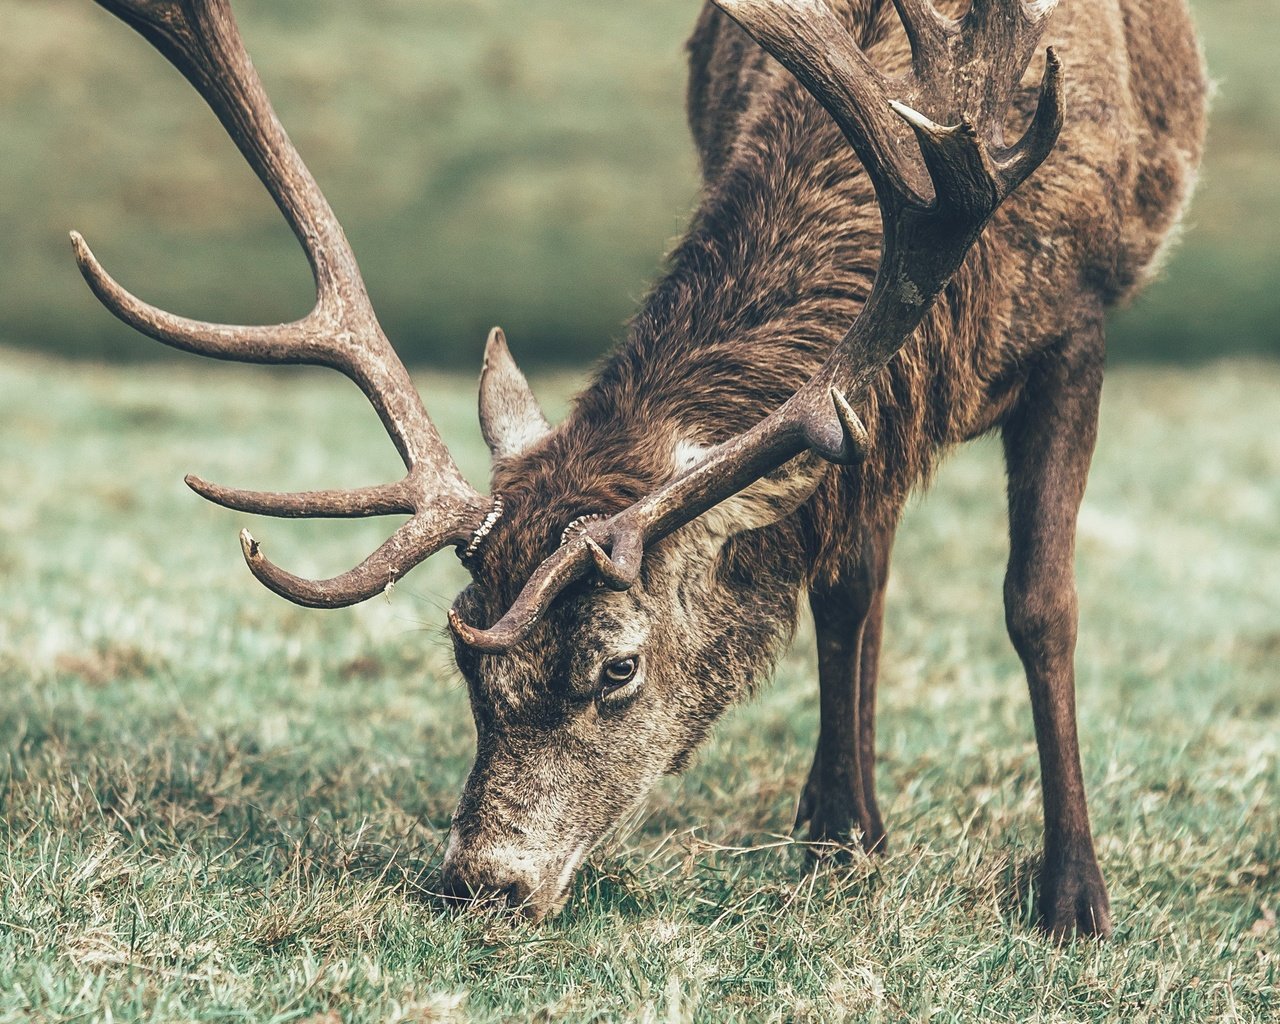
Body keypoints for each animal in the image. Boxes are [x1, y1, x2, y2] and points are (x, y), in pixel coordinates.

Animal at [74, 0, 1203, 936]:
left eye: (617, 665)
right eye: (464, 660)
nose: (483, 882)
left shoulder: (1075, 329)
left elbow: (1039, 604)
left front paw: (1072, 897)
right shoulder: (866, 419)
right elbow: (843, 578)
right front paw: (839, 836)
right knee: (854, 579)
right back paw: (843, 824)